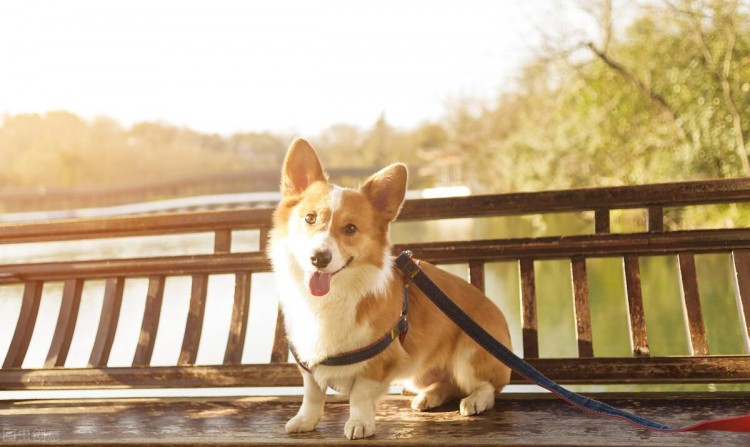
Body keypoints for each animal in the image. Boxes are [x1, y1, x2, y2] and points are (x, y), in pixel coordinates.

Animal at [268, 140, 516, 440]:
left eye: (350, 228)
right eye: (310, 218)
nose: (319, 258)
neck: (332, 297)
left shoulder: (378, 363)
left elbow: (360, 396)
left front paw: (360, 423)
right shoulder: (309, 360)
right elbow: (312, 394)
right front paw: (305, 421)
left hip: (468, 354)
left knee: (487, 387)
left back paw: (475, 400)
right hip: (417, 373)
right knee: (448, 384)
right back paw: (429, 396)